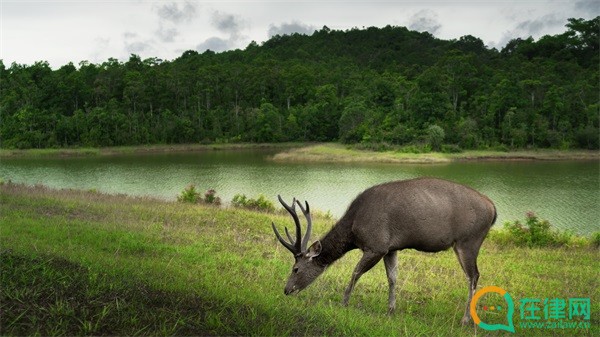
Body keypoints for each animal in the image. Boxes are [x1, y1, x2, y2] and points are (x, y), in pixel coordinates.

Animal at [272, 177, 496, 324]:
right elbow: (393, 278)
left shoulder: (376, 245)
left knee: (473, 276)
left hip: (468, 241)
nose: (286, 290)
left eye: (295, 269)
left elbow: (355, 273)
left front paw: (344, 303)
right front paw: (390, 310)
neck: (354, 229)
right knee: (474, 276)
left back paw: (466, 319)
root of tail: (494, 209)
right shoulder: (391, 248)